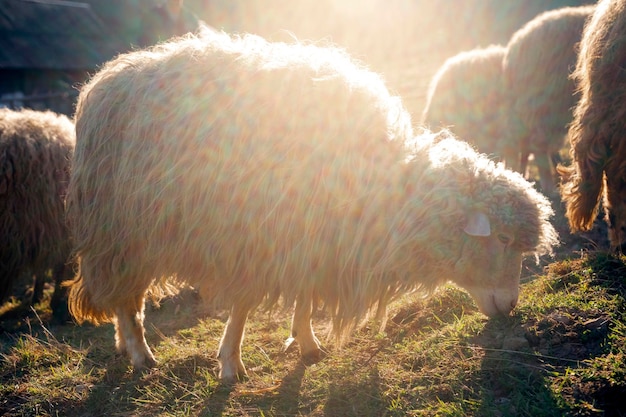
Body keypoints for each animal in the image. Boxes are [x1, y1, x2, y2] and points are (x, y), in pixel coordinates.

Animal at [67, 29, 556, 380]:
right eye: (503, 238)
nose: (510, 306)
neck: (383, 187)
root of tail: (106, 78)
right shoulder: (257, 237)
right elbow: (243, 307)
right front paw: (231, 363)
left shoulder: (311, 239)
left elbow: (303, 298)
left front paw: (306, 344)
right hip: (120, 232)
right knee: (127, 302)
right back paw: (141, 354)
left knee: (125, 300)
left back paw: (125, 345)